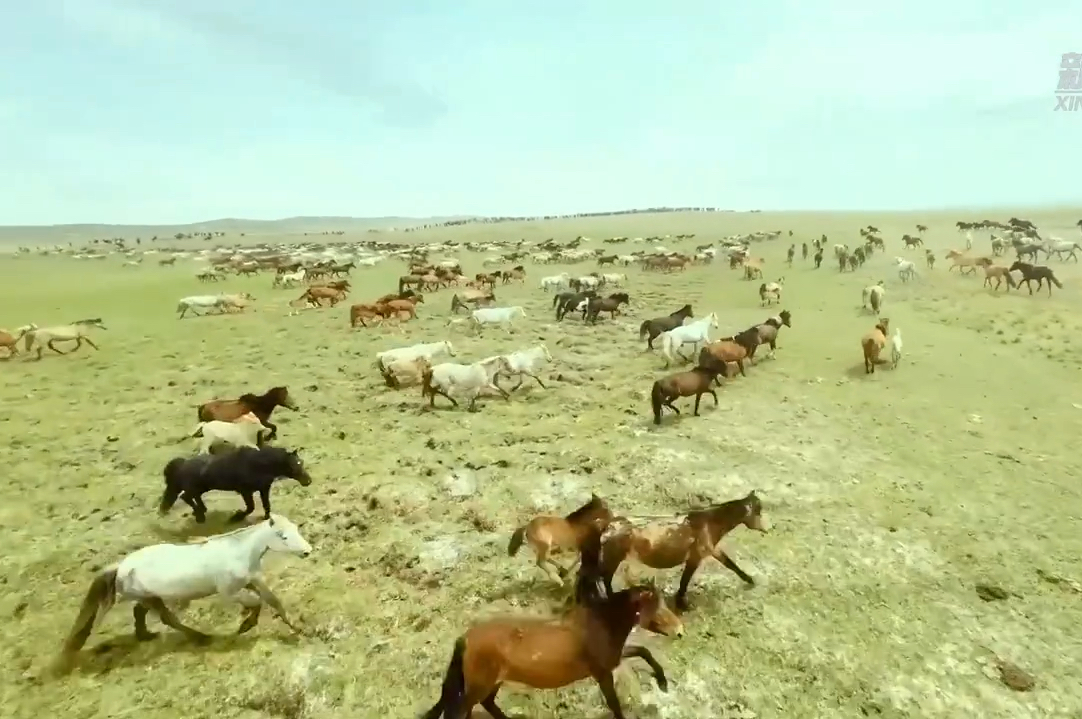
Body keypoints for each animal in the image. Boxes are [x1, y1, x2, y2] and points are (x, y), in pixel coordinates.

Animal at [52, 516, 311, 674]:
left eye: (296, 529)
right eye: (283, 535)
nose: (307, 551)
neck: (239, 554)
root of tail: (121, 566)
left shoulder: (254, 580)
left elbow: (274, 602)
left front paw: (299, 629)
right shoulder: (229, 592)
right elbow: (256, 603)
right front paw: (246, 624)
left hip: (148, 597)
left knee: (141, 613)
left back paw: (146, 635)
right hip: (150, 598)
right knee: (168, 618)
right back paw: (201, 637)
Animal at [159, 443, 313, 521]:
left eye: (301, 462)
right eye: (293, 466)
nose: (308, 481)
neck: (258, 465)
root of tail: (183, 464)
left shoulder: (264, 489)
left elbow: (266, 505)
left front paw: (267, 517)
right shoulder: (245, 492)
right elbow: (250, 507)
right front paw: (236, 517)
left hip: (202, 488)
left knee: (193, 497)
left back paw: (202, 511)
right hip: (193, 488)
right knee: (185, 497)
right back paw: (200, 516)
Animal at [601, 488, 770, 609]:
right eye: (758, 511)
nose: (766, 529)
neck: (711, 522)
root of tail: (610, 524)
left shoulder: (712, 551)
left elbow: (730, 564)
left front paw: (749, 579)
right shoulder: (697, 556)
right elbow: (685, 580)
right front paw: (682, 603)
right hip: (614, 558)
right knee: (606, 578)